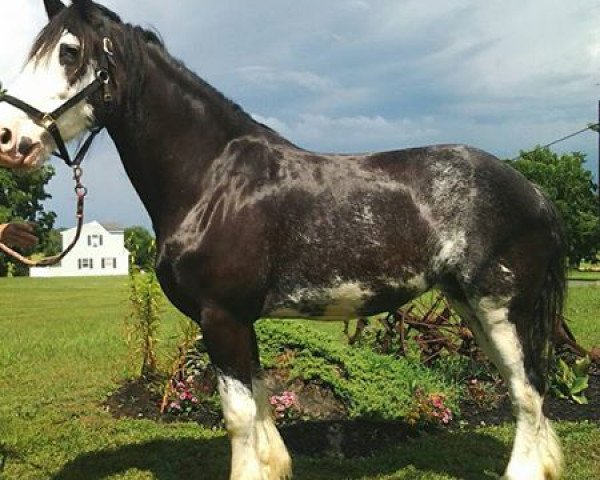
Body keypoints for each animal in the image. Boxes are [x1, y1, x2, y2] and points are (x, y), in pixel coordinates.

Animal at [0, 1, 568, 478]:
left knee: (527, 392)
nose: (9, 140)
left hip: (501, 308)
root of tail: (534, 190)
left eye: (68, 52)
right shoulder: (240, 320)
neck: (212, 180)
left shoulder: (221, 316)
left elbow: (237, 416)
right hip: (472, 307)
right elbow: (259, 402)